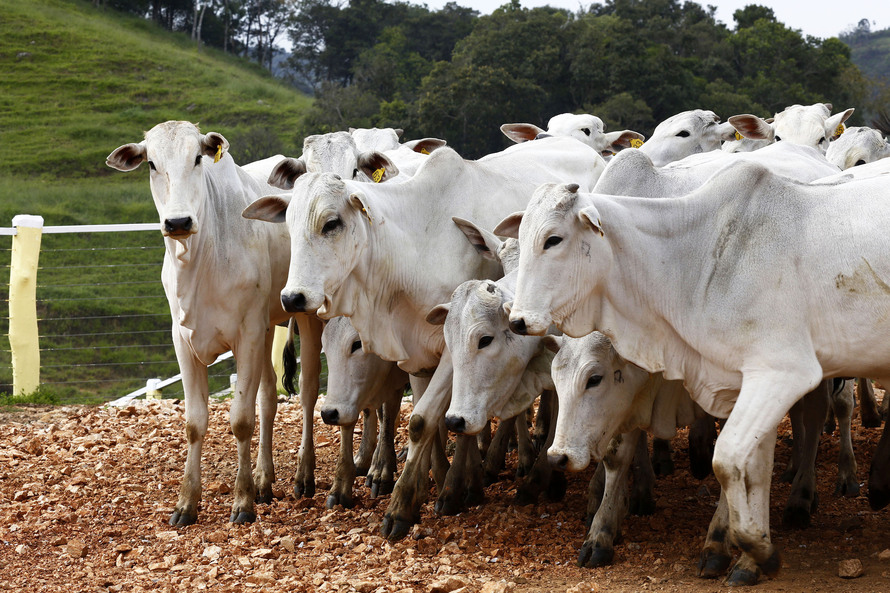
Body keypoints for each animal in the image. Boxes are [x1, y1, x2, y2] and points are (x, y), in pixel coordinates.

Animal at [106, 120, 324, 524]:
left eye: (197, 158)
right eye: (151, 164)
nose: (177, 222)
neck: (200, 261)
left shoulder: (247, 335)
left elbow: (240, 420)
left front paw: (242, 502)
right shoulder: (183, 340)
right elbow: (195, 422)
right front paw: (187, 503)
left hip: (306, 316)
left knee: (307, 390)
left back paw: (303, 476)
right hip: (268, 326)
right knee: (268, 396)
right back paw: (264, 480)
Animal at [243, 135, 604, 540]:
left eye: (331, 223)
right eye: (288, 226)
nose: (292, 298)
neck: (413, 243)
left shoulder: (454, 351)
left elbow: (426, 421)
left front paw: (412, 503)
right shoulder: (415, 353)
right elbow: (427, 420)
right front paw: (438, 480)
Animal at [496, 166, 888, 584]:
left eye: (553, 239)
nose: (517, 321)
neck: (698, 259)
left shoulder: (781, 373)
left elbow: (727, 460)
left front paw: (750, 549)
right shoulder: (742, 384)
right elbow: (754, 468)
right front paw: (750, 556)